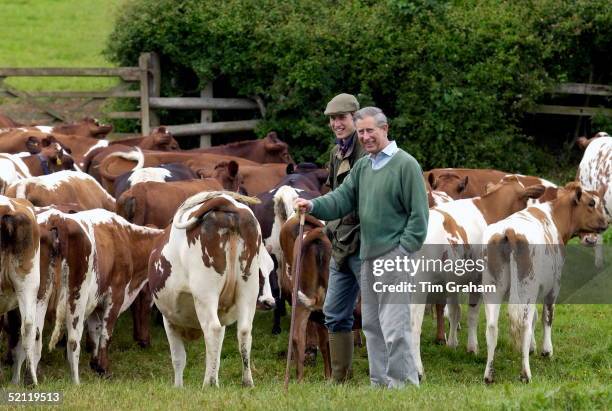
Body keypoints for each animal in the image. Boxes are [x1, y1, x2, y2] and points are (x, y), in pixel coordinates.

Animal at [41, 211, 164, 384]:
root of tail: (58, 220)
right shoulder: (115, 296)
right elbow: (106, 333)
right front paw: (104, 368)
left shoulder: (97, 302)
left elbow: (94, 333)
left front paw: (95, 363)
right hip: (76, 299)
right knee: (73, 339)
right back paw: (76, 382)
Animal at [149, 192, 274, 388]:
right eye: (263, 275)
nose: (271, 302)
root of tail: (228, 203)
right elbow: (215, 352)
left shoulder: (168, 319)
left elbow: (178, 358)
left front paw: (178, 387)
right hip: (247, 291)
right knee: (244, 331)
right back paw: (246, 381)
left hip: (205, 294)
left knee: (212, 328)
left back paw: (209, 384)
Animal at [482, 183, 608, 384]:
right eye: (591, 203)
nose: (605, 223)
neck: (554, 216)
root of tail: (510, 230)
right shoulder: (554, 286)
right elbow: (547, 316)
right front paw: (546, 350)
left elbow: (535, 316)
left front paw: (533, 347)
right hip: (526, 287)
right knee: (524, 325)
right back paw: (525, 373)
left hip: (493, 288)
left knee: (492, 327)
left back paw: (489, 374)